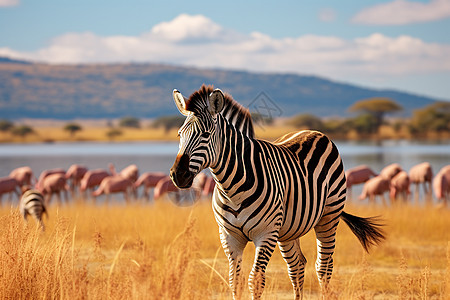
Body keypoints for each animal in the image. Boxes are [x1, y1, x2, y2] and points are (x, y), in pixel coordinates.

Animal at [169, 85, 384, 300]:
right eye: (179, 135)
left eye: (205, 135)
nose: (177, 175)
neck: (232, 189)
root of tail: (313, 131)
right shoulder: (229, 235)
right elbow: (235, 281)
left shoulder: (265, 233)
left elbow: (255, 280)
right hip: (289, 229)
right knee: (297, 266)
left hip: (329, 216)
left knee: (323, 267)